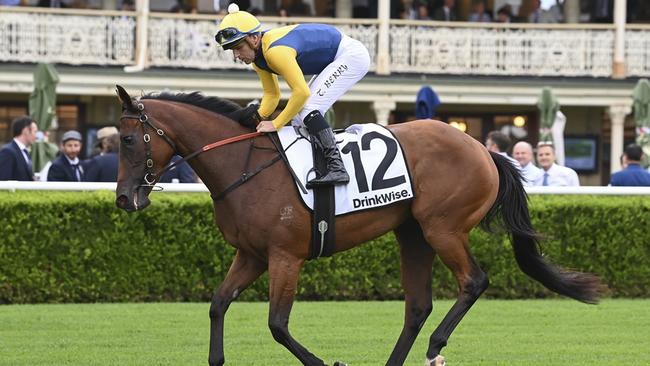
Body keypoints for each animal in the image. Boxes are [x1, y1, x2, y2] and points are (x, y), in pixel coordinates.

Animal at [114, 85, 600, 366]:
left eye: (127, 138)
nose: (123, 198)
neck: (243, 164)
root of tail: (483, 149)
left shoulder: (285, 256)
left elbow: (277, 324)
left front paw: (329, 363)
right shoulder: (251, 254)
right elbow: (217, 304)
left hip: (443, 228)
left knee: (473, 281)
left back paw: (436, 346)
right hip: (413, 234)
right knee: (417, 305)